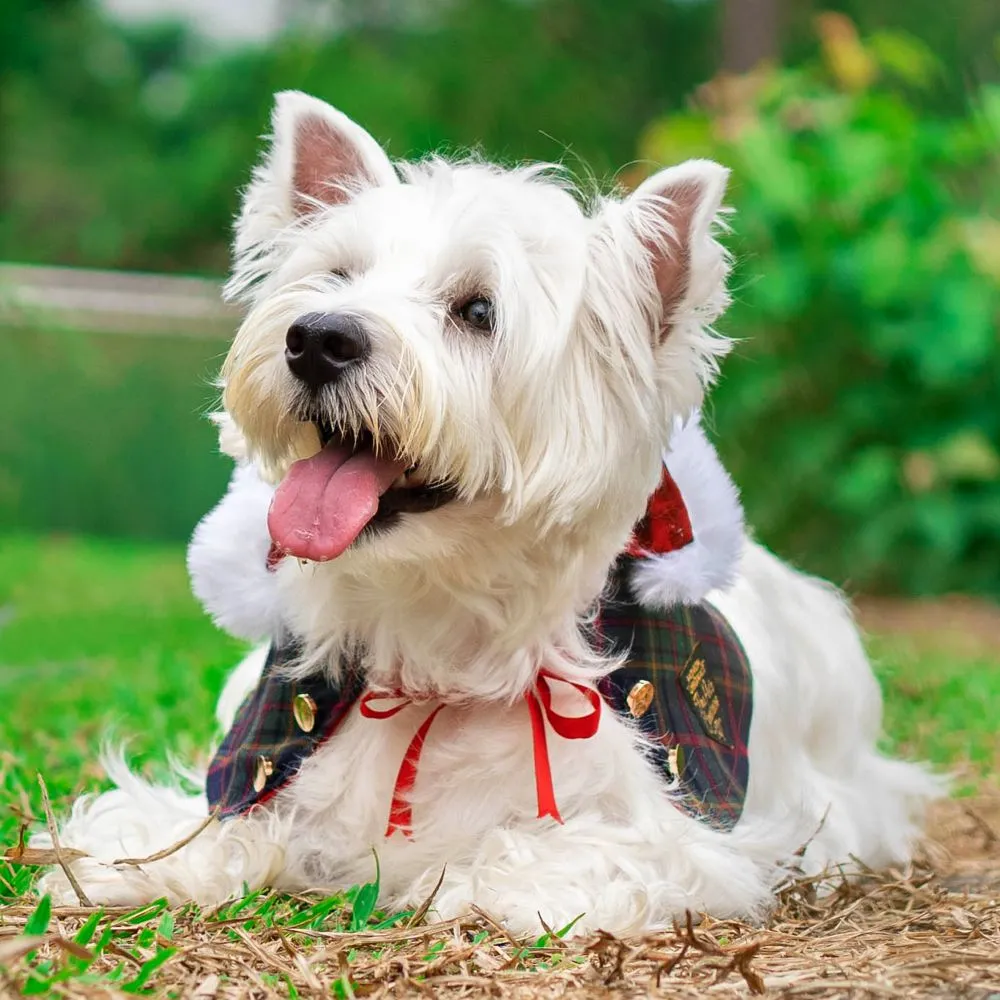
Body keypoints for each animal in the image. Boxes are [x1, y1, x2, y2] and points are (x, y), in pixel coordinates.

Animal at [37, 90, 936, 932]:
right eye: (336, 278)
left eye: (477, 311)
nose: (317, 339)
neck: (438, 655)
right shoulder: (261, 754)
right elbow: (209, 821)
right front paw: (132, 862)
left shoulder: (692, 836)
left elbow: (556, 852)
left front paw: (473, 883)